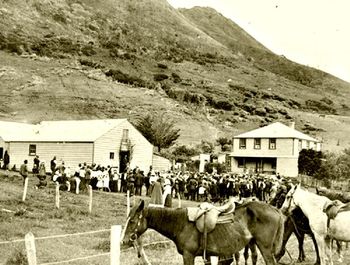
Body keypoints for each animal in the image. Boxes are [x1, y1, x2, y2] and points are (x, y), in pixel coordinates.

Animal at [120, 199, 284, 262]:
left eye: (132, 221)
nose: (123, 241)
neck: (181, 224)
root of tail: (275, 209)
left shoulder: (188, 255)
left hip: (265, 248)